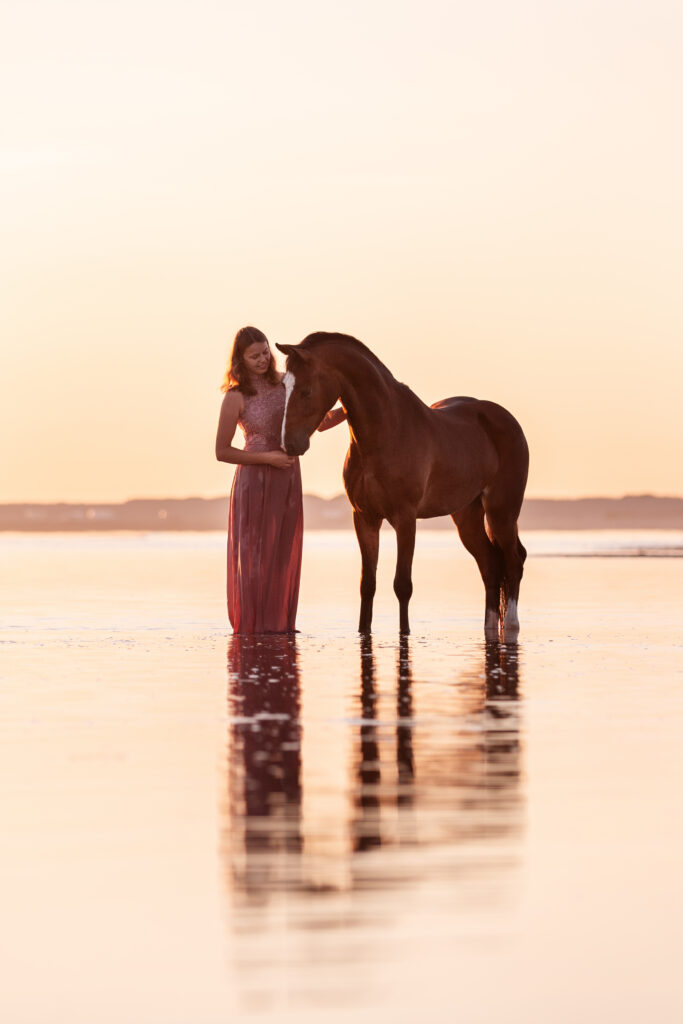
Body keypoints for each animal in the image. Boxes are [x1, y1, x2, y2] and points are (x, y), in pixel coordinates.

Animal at [276, 331, 528, 634]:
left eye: (306, 391)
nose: (289, 444)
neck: (384, 433)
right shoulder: (365, 518)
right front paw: (363, 631)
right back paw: (490, 627)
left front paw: (404, 633)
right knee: (490, 565)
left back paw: (511, 625)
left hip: (502, 512)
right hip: (467, 516)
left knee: (513, 561)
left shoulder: (405, 518)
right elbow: (367, 584)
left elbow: (402, 585)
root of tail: (507, 421)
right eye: (283, 387)